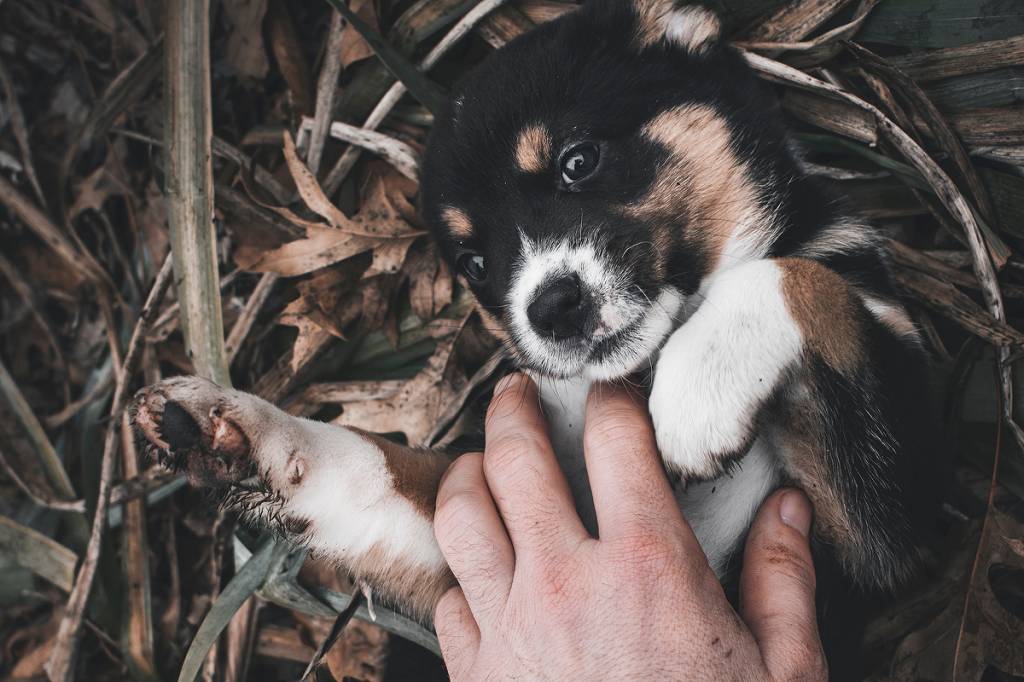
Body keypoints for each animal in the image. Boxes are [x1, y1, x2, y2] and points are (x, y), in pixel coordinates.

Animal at [134, 0, 937, 638]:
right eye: (475, 264)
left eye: (578, 161)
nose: (551, 308)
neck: (640, 367)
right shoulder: (461, 538)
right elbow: (370, 468)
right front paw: (226, 424)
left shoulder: (881, 535)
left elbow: (805, 279)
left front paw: (698, 391)